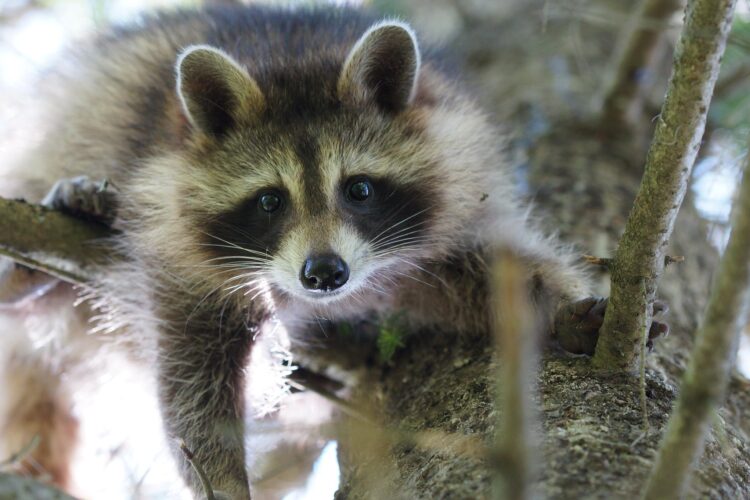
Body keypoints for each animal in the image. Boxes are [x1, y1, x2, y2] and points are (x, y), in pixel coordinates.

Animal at [0, 4, 641, 499]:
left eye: (358, 189)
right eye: (269, 201)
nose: (324, 273)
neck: (295, 55)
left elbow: (491, 269)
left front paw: (559, 306)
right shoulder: (174, 246)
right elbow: (192, 376)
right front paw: (221, 478)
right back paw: (37, 260)